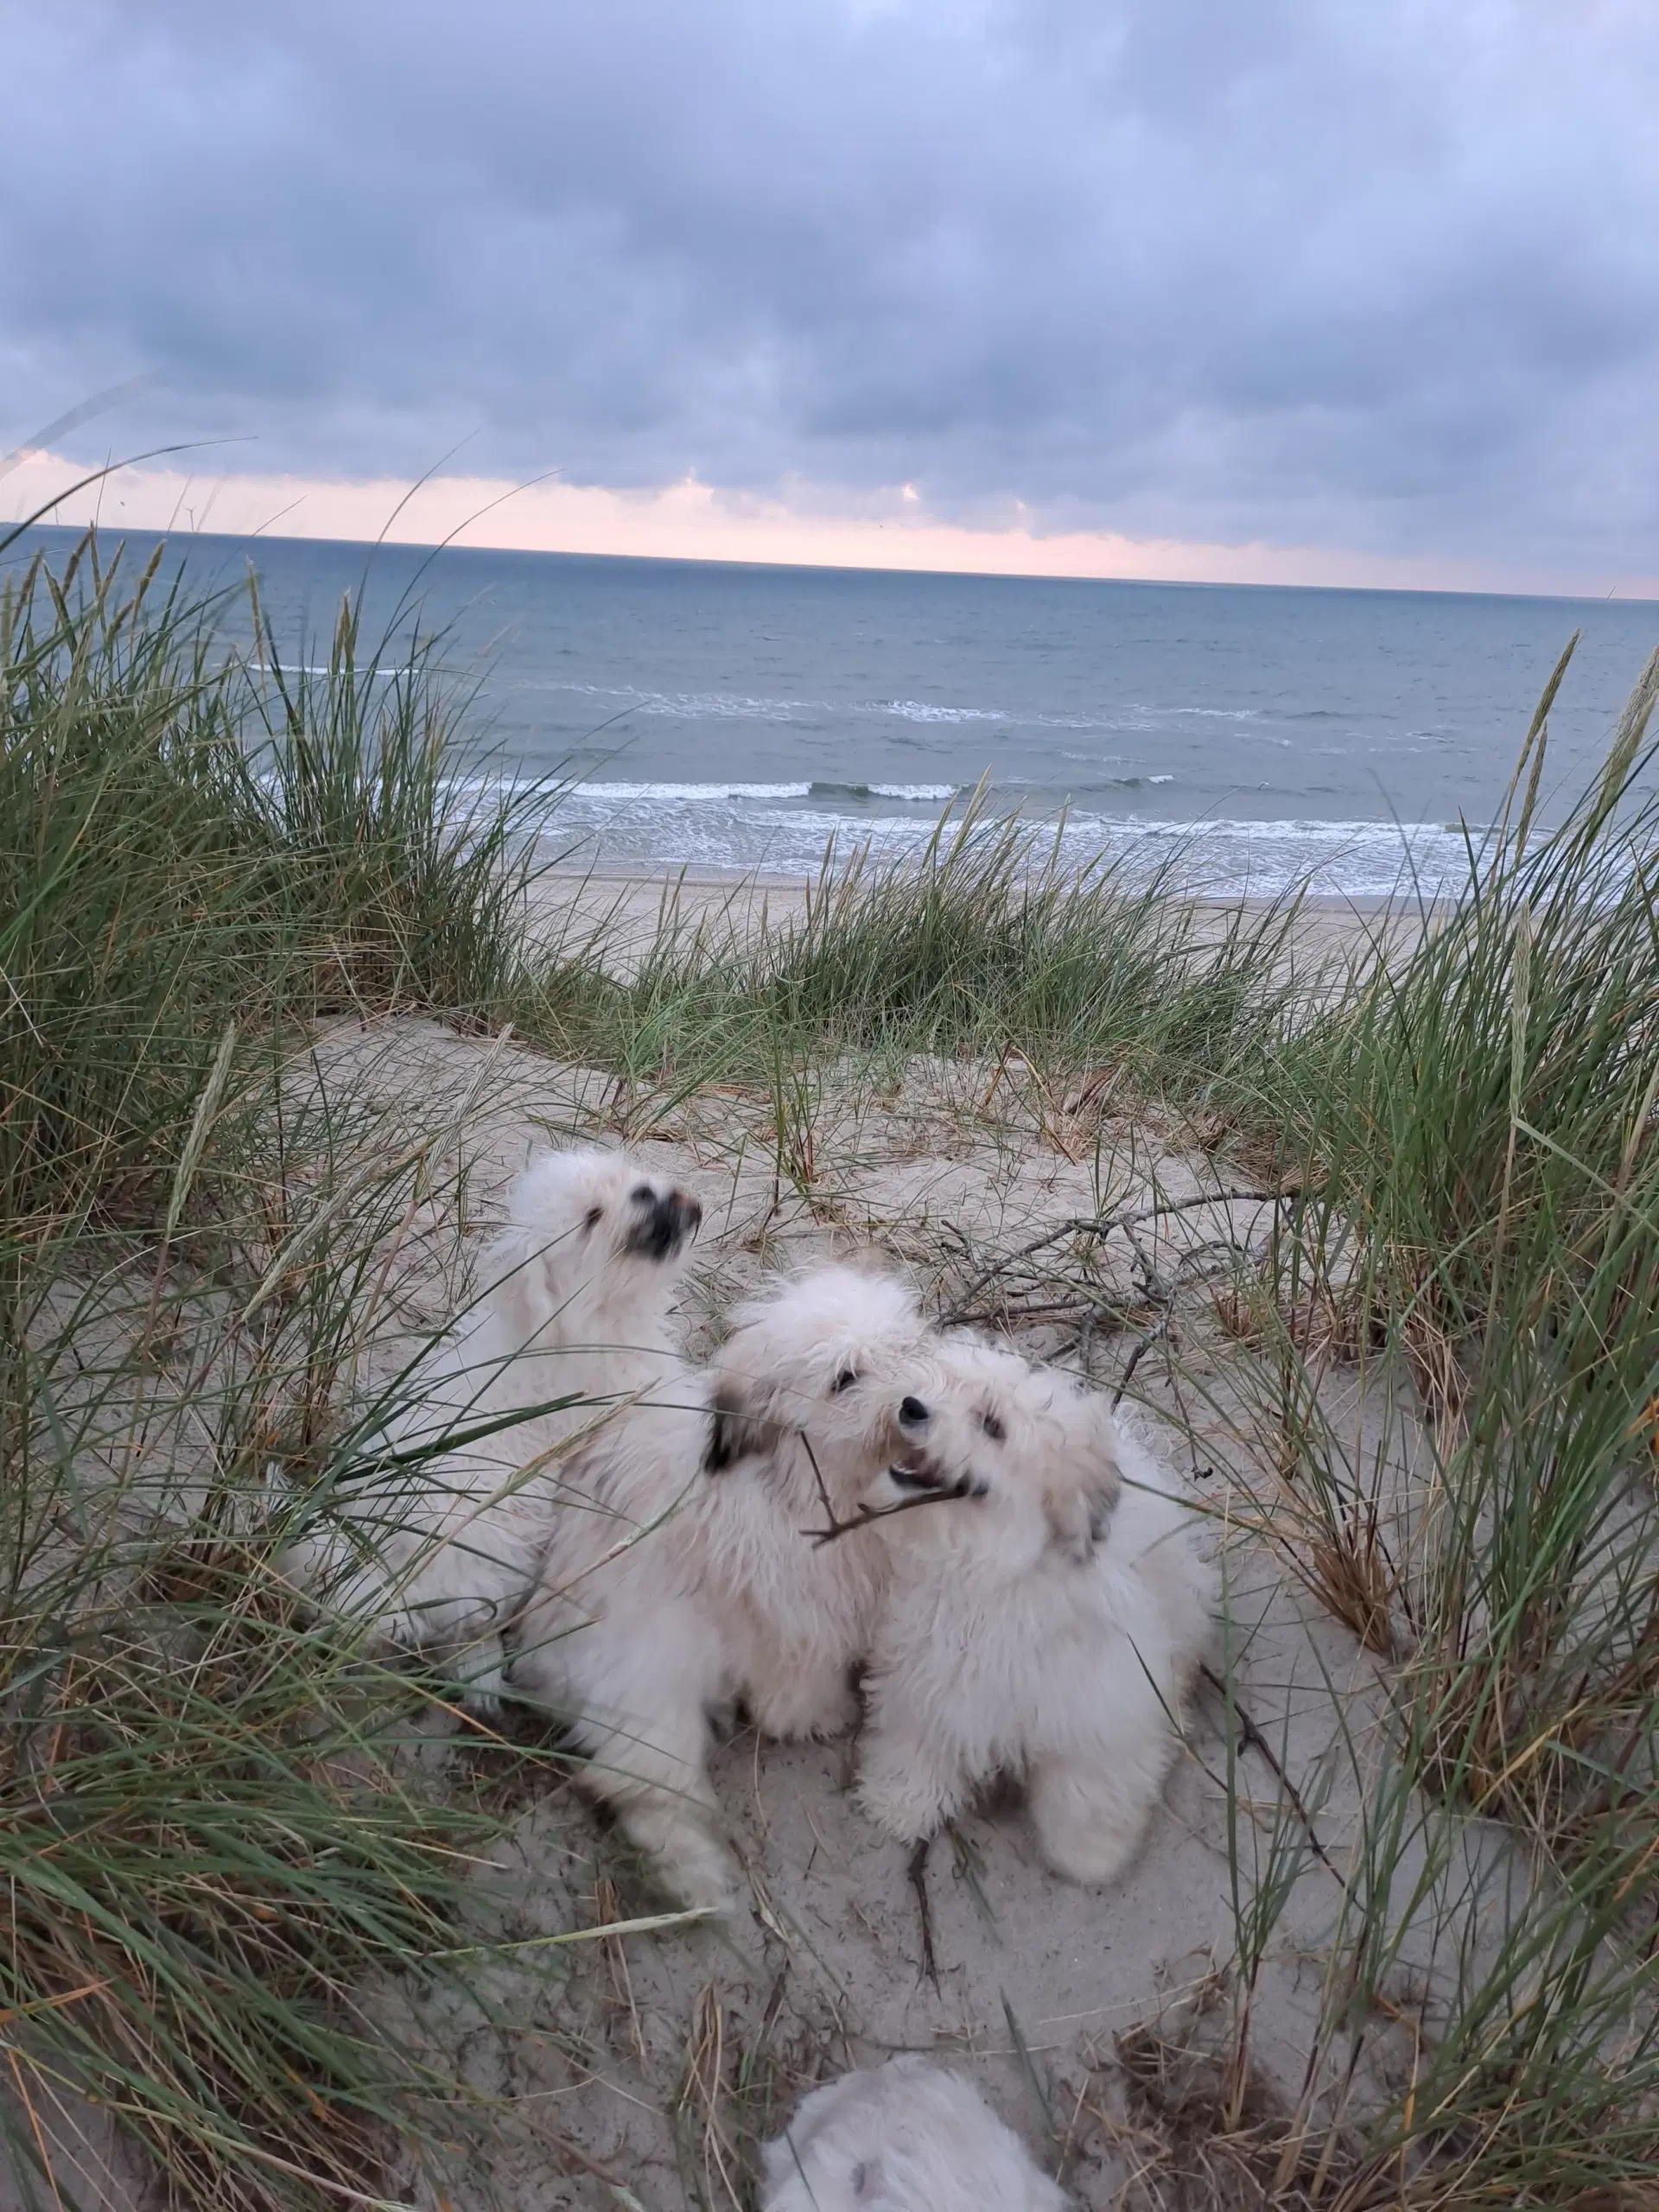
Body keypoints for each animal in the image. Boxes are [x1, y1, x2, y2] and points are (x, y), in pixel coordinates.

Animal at [283, 1150, 698, 1699]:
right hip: (496, 1562)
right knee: (459, 1636)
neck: (576, 1318)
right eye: (591, 1218)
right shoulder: (629, 1396)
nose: (648, 1193)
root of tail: (376, 1578)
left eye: (627, 1179)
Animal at [506, 1274, 946, 1910]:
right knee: (636, 1781)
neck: (798, 1478)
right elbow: (796, 1689)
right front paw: (824, 1714)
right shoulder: (798, 1611)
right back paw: (696, 1879)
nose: (913, 1404)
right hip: (651, 1687)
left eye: (907, 1349)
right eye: (845, 1379)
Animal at [849, 1327, 1211, 1885]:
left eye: (992, 1426)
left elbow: (1088, 1787)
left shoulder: (1101, 1704)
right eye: (936, 1387)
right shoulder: (931, 1676)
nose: (911, 1406)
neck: (998, 1572)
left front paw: (1090, 1854)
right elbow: (918, 1740)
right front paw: (903, 1801)